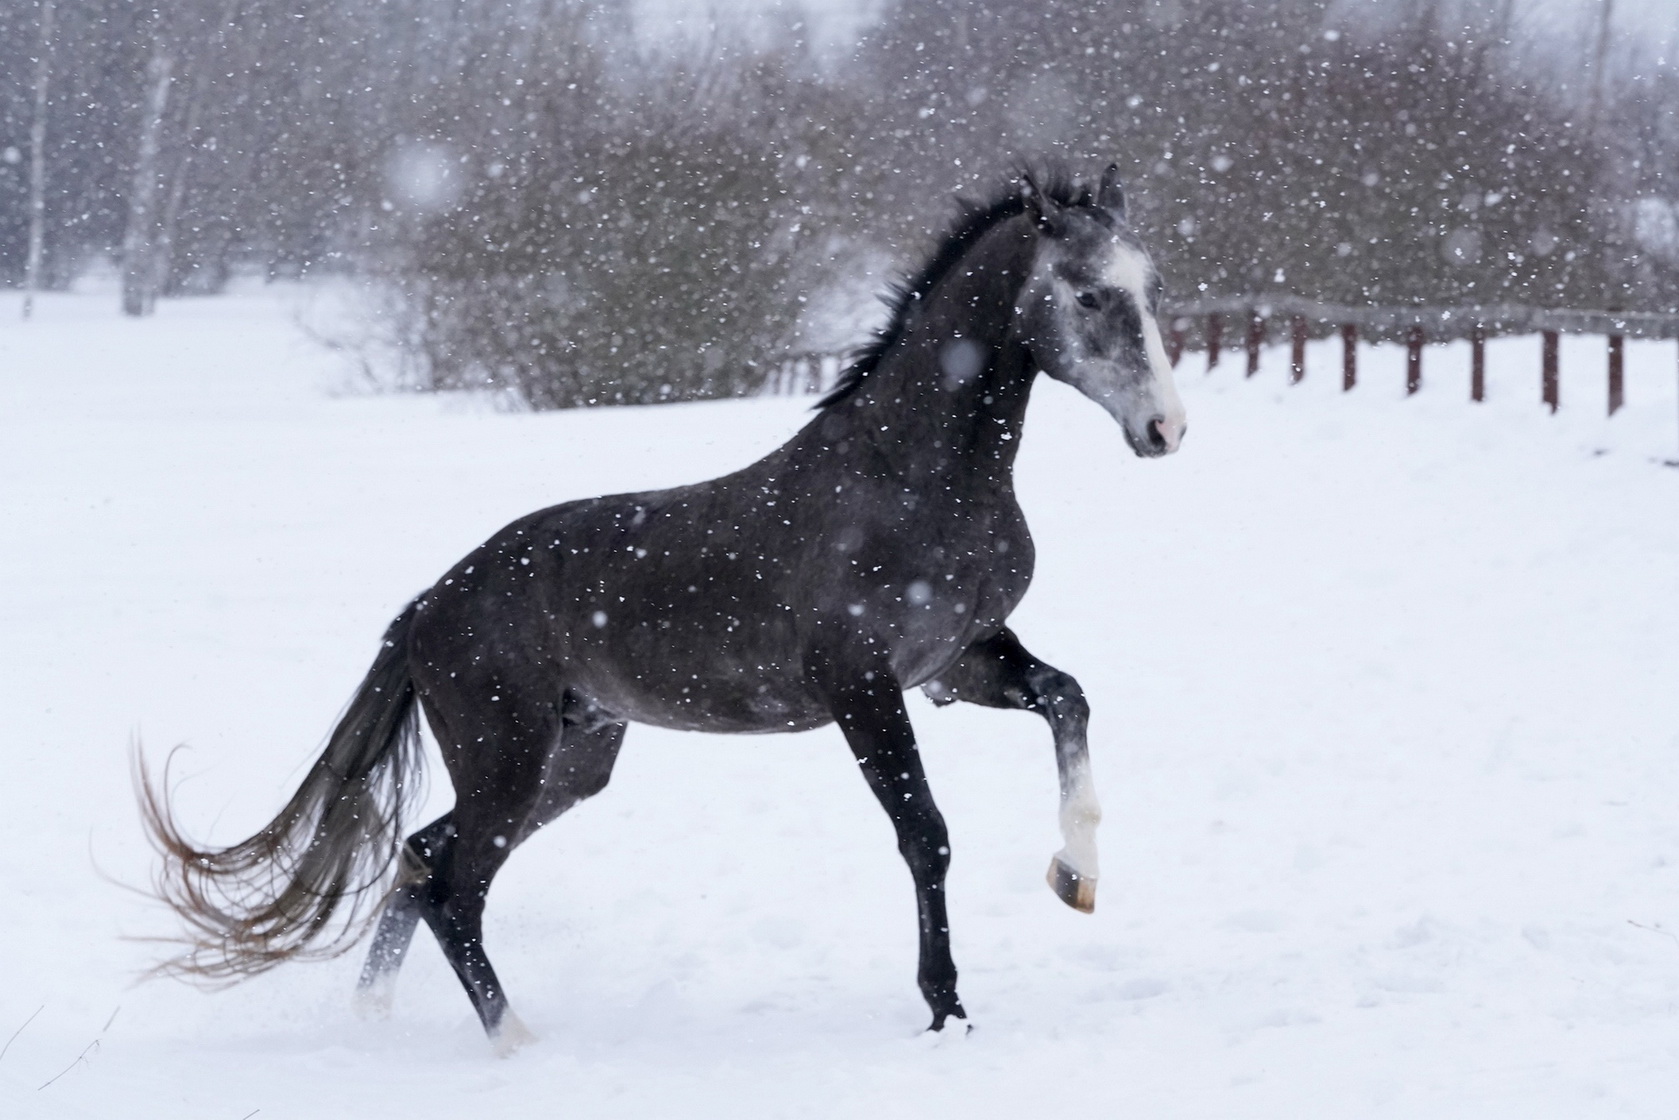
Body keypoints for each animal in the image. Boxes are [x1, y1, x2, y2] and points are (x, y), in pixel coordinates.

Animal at [136, 162, 1187, 1055]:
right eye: (1087, 294)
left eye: (1151, 288)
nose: (1165, 430)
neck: (913, 478)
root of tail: (427, 605)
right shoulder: (863, 687)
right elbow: (923, 833)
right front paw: (947, 1009)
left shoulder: (958, 661)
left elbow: (1068, 698)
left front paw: (1076, 877)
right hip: (509, 760)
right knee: (453, 887)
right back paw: (517, 1044)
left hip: (571, 760)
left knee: (421, 854)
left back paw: (374, 1019)